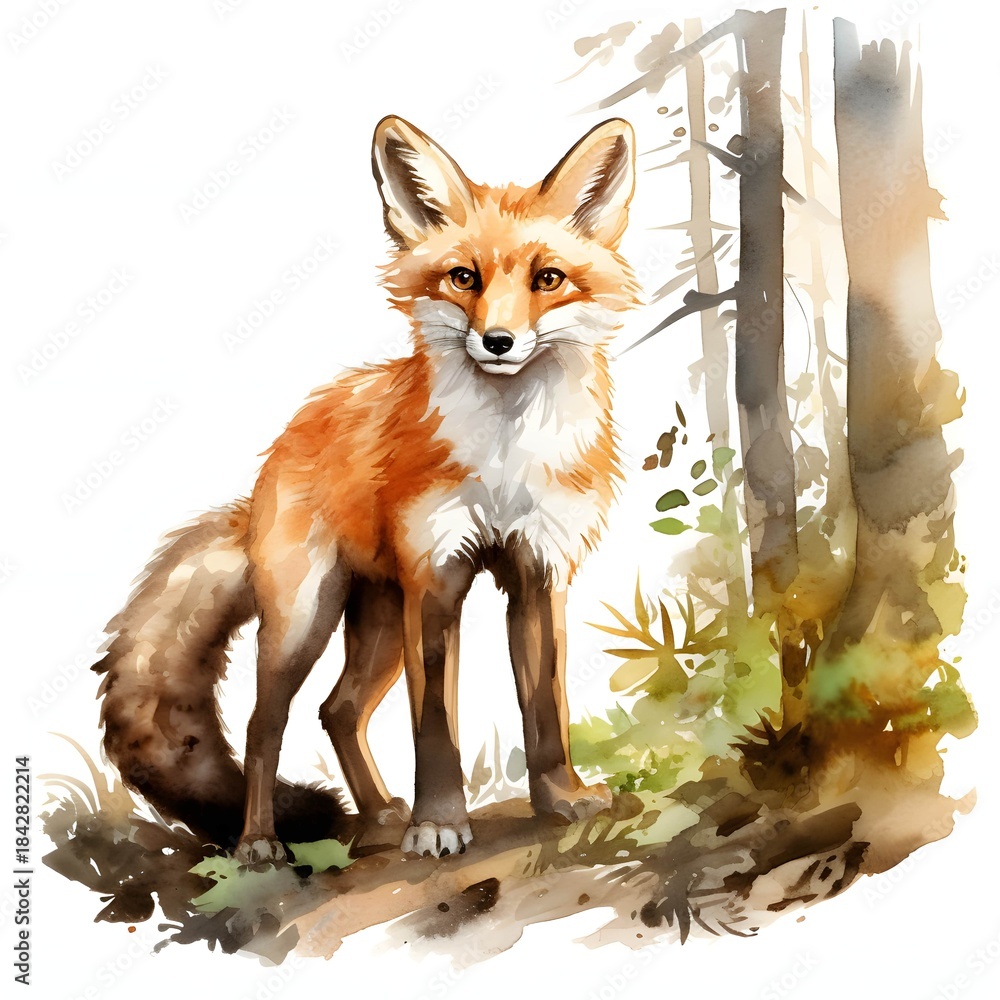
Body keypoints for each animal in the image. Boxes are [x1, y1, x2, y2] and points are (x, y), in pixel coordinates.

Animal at [94, 114, 639, 863]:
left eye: (548, 279)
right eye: (463, 277)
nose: (498, 341)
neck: (504, 456)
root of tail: (275, 457)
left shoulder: (538, 570)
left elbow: (546, 708)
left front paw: (560, 799)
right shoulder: (436, 575)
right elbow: (434, 724)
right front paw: (439, 824)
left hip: (379, 620)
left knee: (339, 709)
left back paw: (378, 813)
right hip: (306, 620)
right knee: (265, 725)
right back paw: (260, 840)